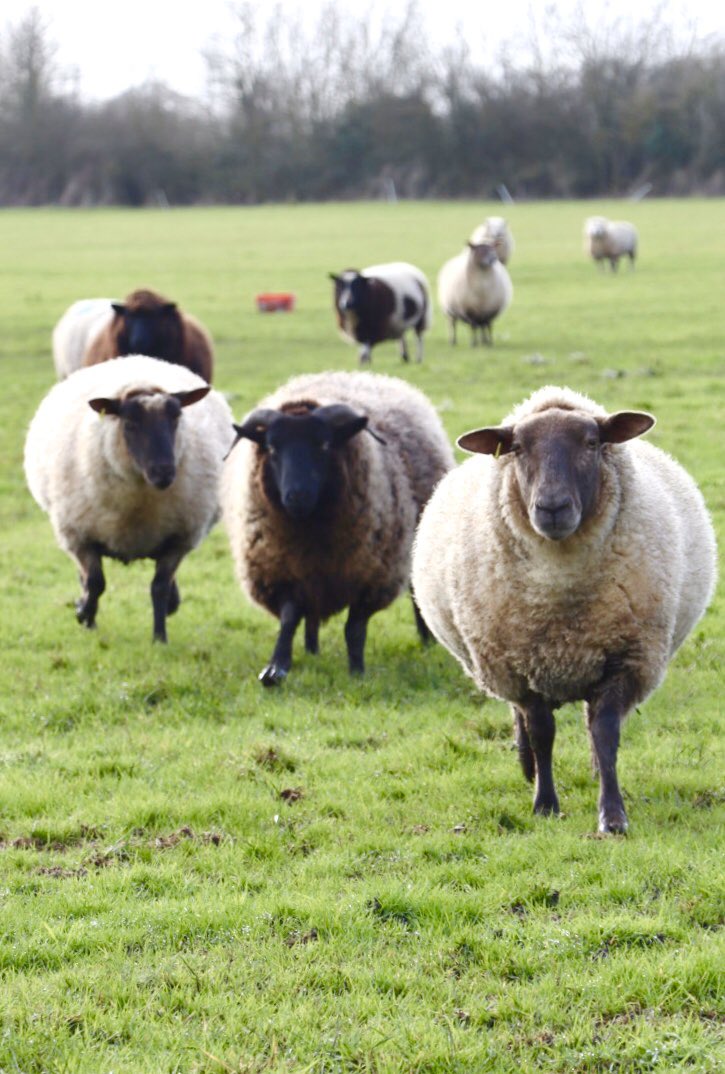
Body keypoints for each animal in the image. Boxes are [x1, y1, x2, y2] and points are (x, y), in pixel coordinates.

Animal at [24, 355, 234, 642]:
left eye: (176, 418)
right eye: (130, 424)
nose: (164, 472)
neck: (139, 504)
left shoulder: (178, 540)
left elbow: (159, 588)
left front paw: (159, 637)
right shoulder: (79, 536)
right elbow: (95, 583)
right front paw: (84, 615)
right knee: (86, 578)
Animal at [221, 369, 454, 685]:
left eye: (324, 444)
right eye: (271, 447)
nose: (297, 496)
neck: (309, 529)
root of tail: (365, 376)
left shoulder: (371, 577)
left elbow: (353, 628)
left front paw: (357, 671)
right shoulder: (282, 570)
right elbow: (289, 618)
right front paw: (276, 668)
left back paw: (426, 639)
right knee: (310, 614)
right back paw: (311, 649)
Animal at [412, 385, 717, 833]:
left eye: (591, 443)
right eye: (517, 448)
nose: (552, 507)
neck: (560, 589)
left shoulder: (624, 658)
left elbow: (605, 733)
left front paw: (612, 815)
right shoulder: (521, 667)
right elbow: (542, 733)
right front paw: (545, 803)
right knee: (522, 721)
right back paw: (528, 767)